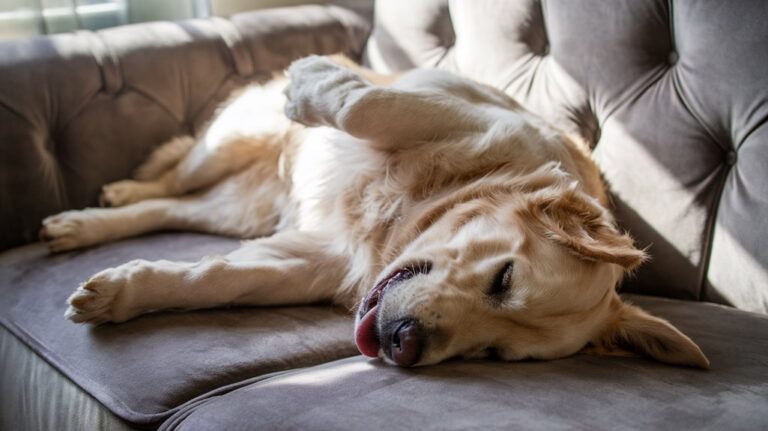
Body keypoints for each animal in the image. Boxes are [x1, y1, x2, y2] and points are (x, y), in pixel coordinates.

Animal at [37, 54, 708, 368]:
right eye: (503, 278)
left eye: (495, 354)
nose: (403, 345)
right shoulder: (472, 113)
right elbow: (368, 104)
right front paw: (315, 83)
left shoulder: (316, 261)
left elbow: (213, 279)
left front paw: (121, 294)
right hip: (226, 145)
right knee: (174, 173)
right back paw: (114, 195)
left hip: (240, 210)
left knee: (174, 207)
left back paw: (83, 224)